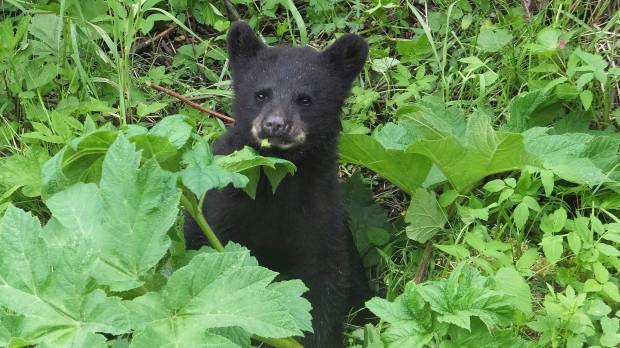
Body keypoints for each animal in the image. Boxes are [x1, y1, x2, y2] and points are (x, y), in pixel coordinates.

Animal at [184, 21, 368, 348]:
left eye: (305, 98)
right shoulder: (223, 206)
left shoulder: (320, 210)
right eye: (261, 94)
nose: (275, 125)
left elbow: (325, 278)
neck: (277, 179)